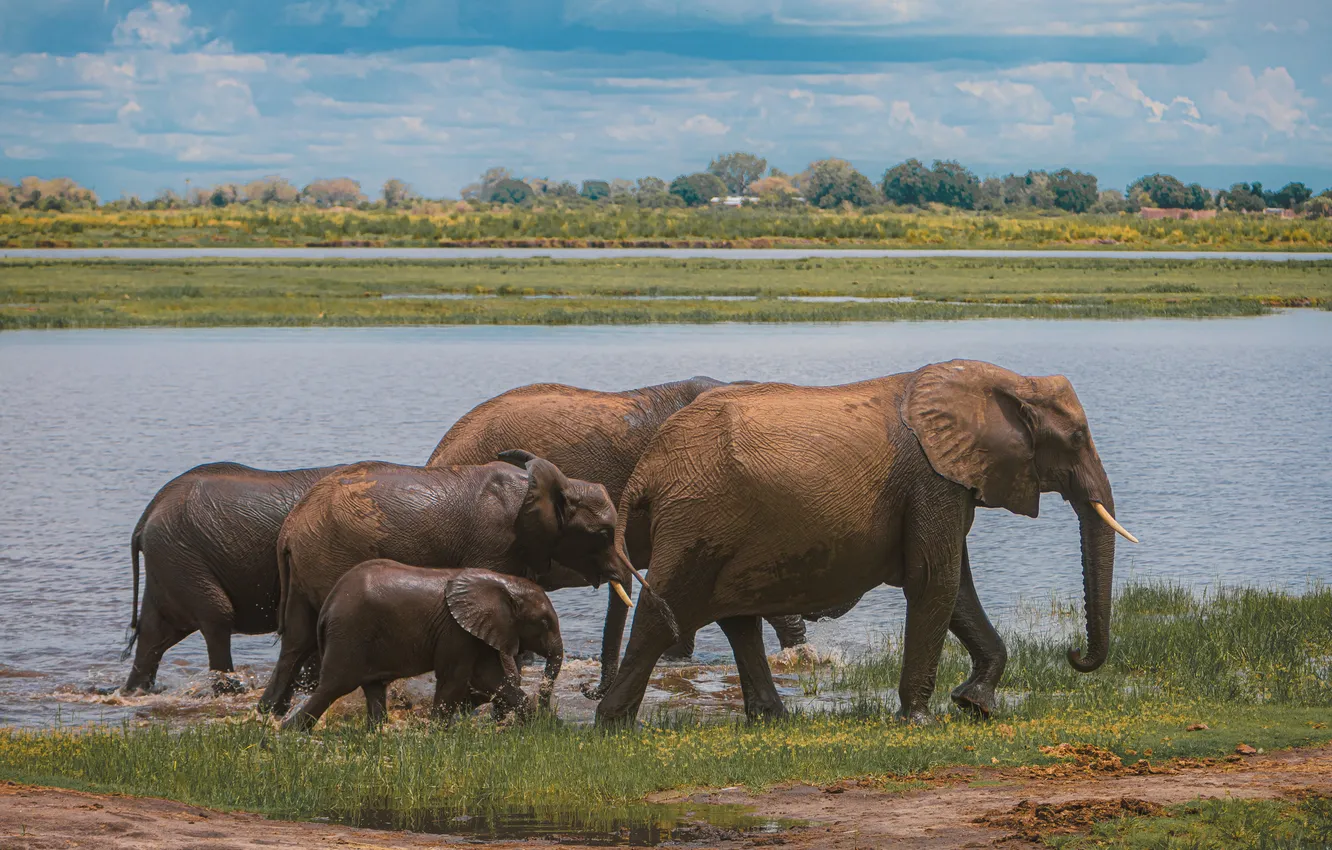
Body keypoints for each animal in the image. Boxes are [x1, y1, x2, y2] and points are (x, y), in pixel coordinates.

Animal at [121, 462, 341, 695]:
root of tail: (148, 514)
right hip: (180, 558)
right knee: (217, 615)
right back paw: (232, 690)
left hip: (167, 563)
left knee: (153, 632)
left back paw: (136, 691)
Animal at [282, 560, 563, 732]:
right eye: (544, 623)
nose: (552, 718)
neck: (501, 582)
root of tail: (329, 603)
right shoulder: (455, 631)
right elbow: (454, 680)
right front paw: (437, 734)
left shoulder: (476, 631)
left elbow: (491, 678)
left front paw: (533, 723)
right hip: (349, 635)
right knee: (332, 687)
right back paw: (288, 733)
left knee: (372, 688)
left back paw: (377, 732)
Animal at [595, 360, 1137, 727]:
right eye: (1076, 437)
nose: (1074, 654)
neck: (1004, 381)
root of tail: (649, 463)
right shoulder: (932, 479)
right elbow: (934, 581)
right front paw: (921, 721)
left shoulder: (944, 482)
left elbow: (956, 587)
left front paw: (975, 704)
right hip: (699, 515)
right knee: (664, 611)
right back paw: (614, 727)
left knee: (736, 619)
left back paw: (773, 721)